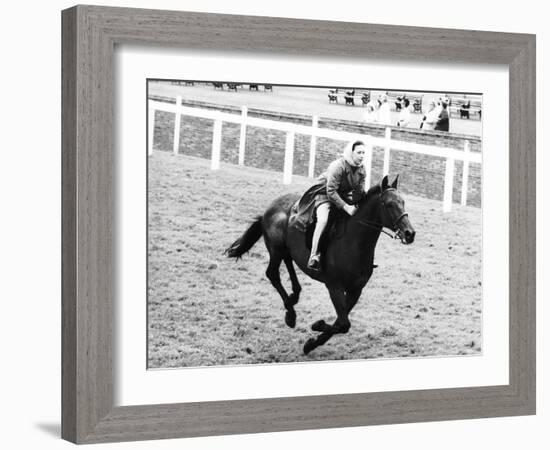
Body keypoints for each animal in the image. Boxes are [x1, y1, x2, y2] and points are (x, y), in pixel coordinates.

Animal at [223, 176, 414, 356]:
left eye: (403, 202)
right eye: (389, 204)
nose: (409, 233)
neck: (354, 242)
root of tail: (268, 210)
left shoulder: (355, 290)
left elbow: (341, 322)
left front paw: (311, 343)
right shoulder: (334, 287)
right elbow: (343, 324)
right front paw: (317, 325)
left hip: (286, 249)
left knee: (288, 263)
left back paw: (294, 297)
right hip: (276, 249)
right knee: (272, 274)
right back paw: (291, 314)